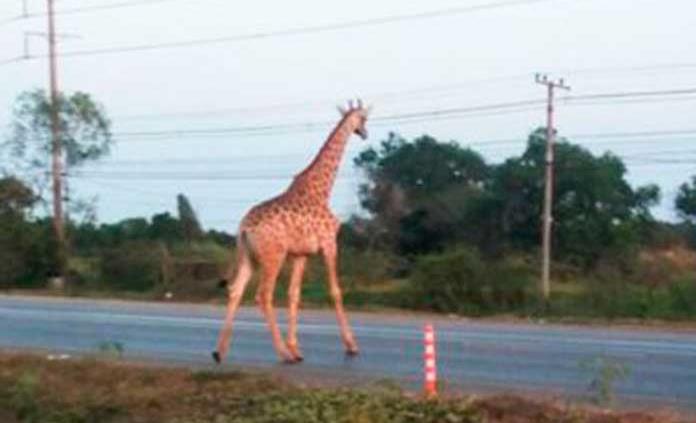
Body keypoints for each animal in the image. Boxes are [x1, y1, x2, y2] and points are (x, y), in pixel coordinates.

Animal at [212, 100, 370, 364]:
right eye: (364, 118)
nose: (365, 133)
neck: (322, 189)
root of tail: (243, 227)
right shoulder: (329, 244)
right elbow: (335, 292)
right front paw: (351, 345)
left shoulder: (301, 254)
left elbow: (294, 295)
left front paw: (296, 347)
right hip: (273, 256)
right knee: (263, 295)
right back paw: (283, 353)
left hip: (249, 256)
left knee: (235, 291)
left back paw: (219, 351)